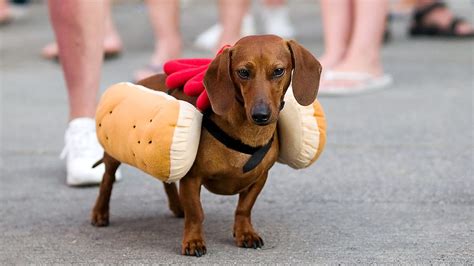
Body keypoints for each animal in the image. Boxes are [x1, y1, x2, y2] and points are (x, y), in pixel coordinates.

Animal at [91, 34, 322, 256]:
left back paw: (177, 206)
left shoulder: (260, 178)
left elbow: (244, 208)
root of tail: (144, 80)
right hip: (115, 155)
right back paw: (100, 213)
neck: (247, 133)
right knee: (107, 179)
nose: (261, 115)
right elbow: (196, 213)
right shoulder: (192, 178)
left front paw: (245, 233)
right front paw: (193, 241)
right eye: (243, 72)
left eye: (278, 71)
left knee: (166, 180)